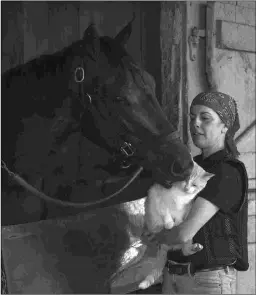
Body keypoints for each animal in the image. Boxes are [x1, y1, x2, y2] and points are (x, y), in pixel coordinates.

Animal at [138, 161, 214, 290]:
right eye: (186, 179)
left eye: (194, 185)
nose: (187, 188)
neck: (180, 195)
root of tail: (165, 245)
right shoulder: (159, 198)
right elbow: (166, 213)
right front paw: (169, 223)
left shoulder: (184, 208)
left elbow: (179, 217)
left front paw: (177, 223)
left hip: (188, 238)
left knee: (185, 251)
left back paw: (195, 247)